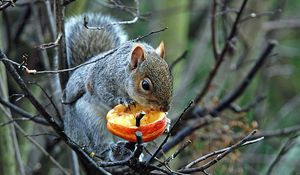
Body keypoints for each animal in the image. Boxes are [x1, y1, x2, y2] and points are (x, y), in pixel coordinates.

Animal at [62, 13, 172, 161]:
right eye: (145, 85)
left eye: (170, 76)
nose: (165, 108)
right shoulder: (100, 80)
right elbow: (103, 94)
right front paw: (123, 101)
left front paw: (167, 122)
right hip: (88, 120)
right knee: (99, 144)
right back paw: (114, 151)